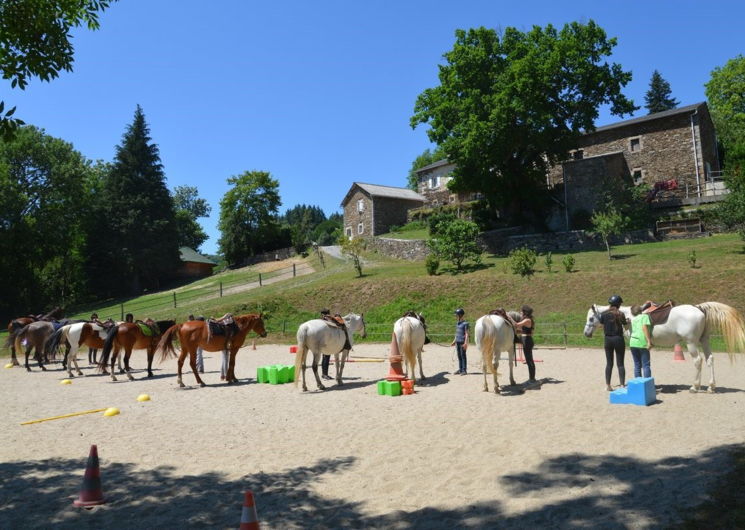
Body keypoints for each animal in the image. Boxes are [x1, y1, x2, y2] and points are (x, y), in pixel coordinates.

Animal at [584, 302, 740, 392]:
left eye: (591, 318)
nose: (586, 333)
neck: (629, 316)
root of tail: (699, 308)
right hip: (704, 340)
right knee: (710, 359)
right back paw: (711, 386)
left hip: (691, 343)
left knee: (698, 361)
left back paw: (695, 386)